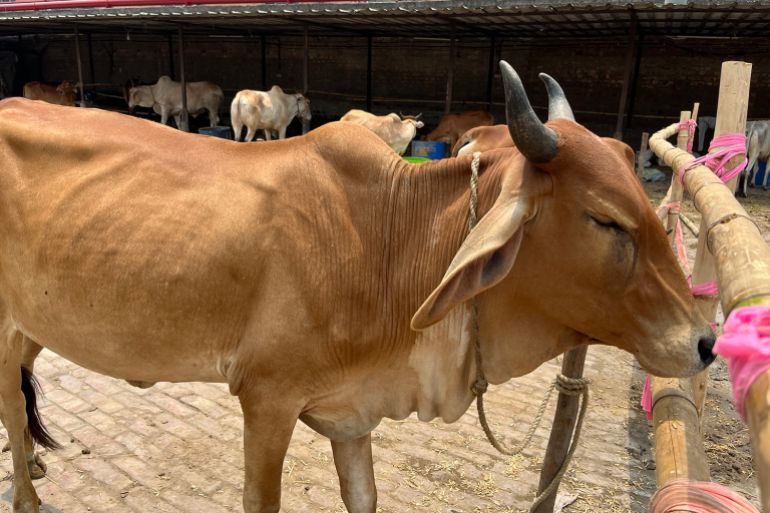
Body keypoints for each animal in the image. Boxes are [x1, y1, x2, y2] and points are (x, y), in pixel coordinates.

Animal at [0, 61, 715, 513]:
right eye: (605, 218)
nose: (705, 342)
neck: (386, 240)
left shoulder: (353, 410)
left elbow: (365, 496)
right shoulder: (266, 399)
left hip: (34, 325)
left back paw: (30, 464)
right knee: (9, 401)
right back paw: (28, 496)